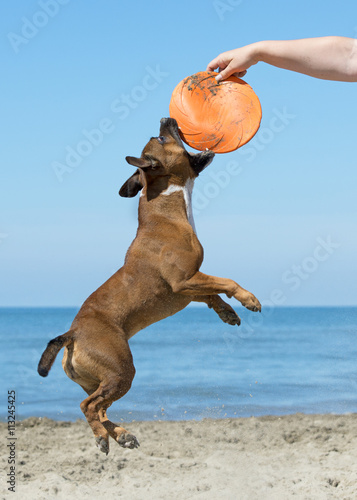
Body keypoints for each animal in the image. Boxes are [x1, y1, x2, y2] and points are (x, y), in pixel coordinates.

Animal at [38, 119, 262, 456]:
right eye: (162, 137)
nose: (165, 119)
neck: (167, 207)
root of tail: (72, 333)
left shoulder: (187, 289)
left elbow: (212, 293)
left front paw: (228, 313)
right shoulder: (185, 280)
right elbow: (226, 282)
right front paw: (248, 299)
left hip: (101, 379)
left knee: (99, 407)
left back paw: (122, 435)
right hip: (120, 370)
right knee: (89, 407)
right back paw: (104, 438)